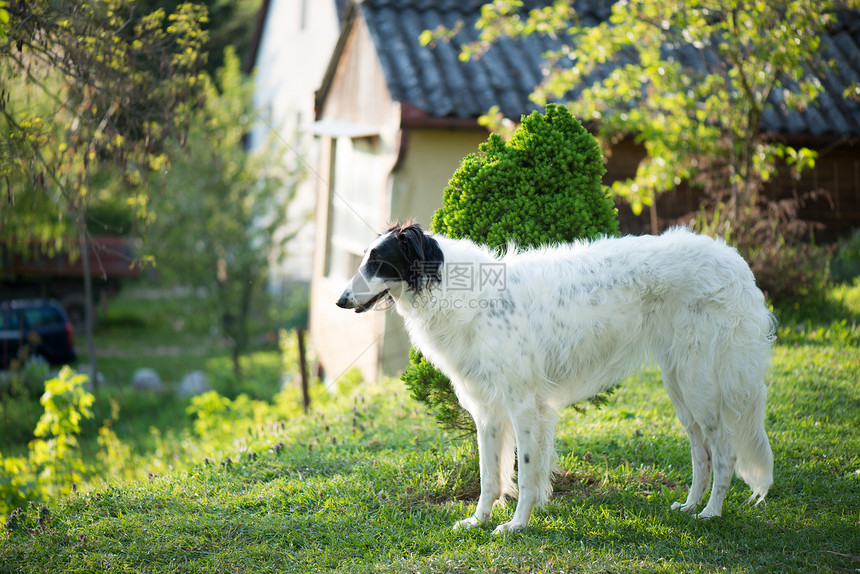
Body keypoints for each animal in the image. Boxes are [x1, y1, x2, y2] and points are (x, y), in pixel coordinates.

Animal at [336, 224, 772, 536]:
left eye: (378, 261)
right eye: (365, 258)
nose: (340, 301)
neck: (459, 291)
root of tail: (734, 261)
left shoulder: (524, 404)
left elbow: (528, 474)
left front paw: (515, 525)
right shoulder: (488, 410)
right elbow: (489, 477)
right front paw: (477, 521)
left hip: (701, 383)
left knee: (724, 452)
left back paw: (711, 513)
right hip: (679, 383)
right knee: (701, 451)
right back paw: (690, 505)